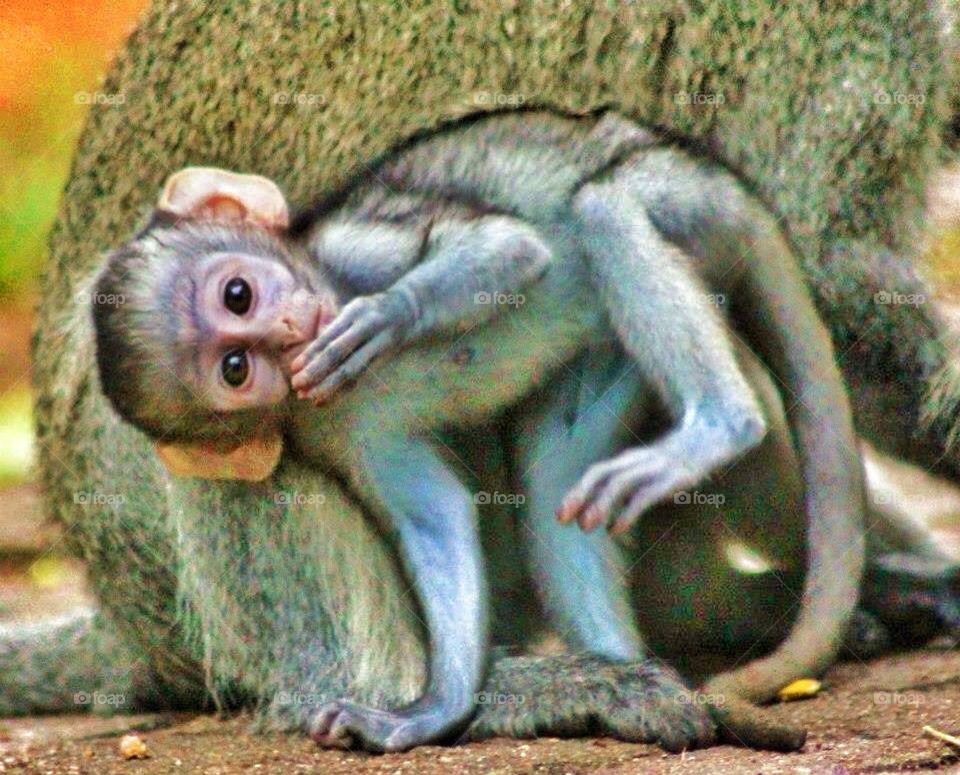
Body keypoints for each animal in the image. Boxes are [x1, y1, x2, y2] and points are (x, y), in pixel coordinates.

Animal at [17, 0, 959, 757]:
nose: (282, 335)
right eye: (236, 353)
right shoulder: (850, 49)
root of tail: (125, 606)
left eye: (242, 293)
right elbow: (838, 288)